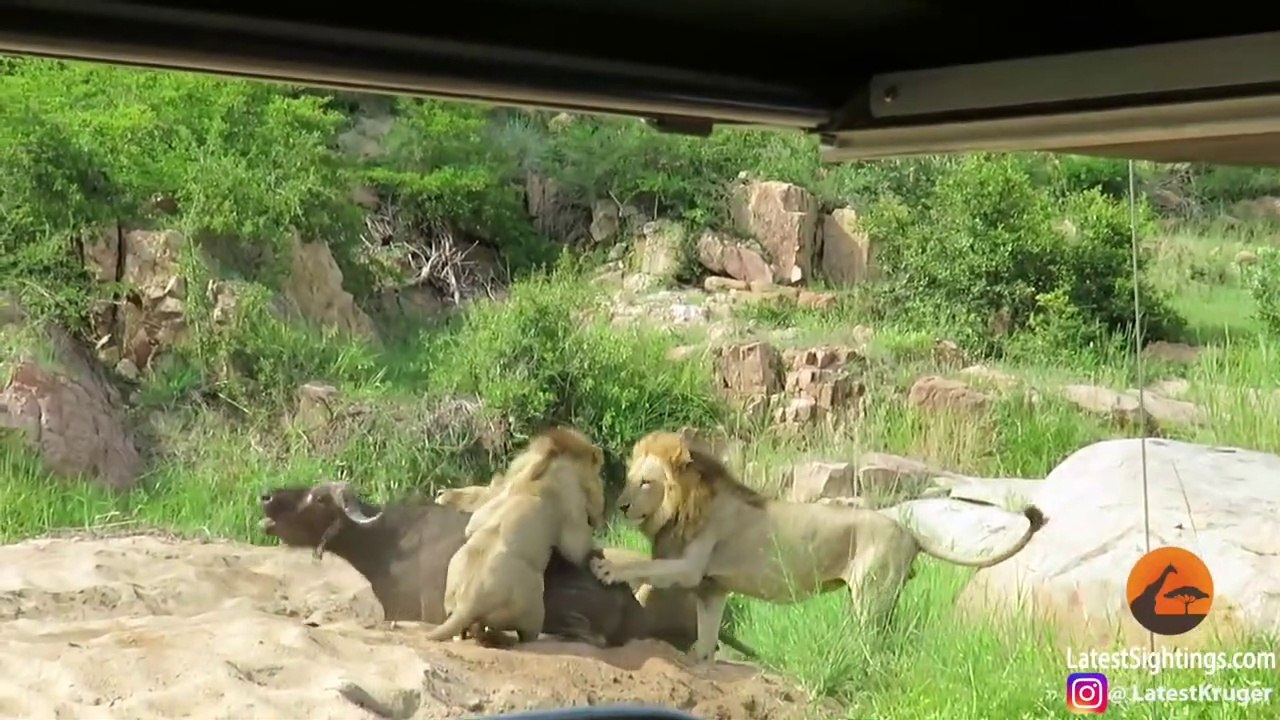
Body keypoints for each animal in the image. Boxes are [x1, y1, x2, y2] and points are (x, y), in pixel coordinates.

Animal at [424, 426, 607, 646]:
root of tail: (468, 603)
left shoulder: (485, 511)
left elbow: (474, 522)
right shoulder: (573, 519)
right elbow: (578, 550)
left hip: (452, 599)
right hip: (532, 606)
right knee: (523, 634)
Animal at [589, 430, 1048, 661]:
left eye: (646, 482)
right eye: (630, 479)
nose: (621, 504)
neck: (681, 507)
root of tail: (909, 533)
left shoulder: (690, 566)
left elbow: (645, 569)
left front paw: (608, 568)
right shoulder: (711, 588)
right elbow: (706, 631)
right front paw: (700, 657)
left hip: (871, 592)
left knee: (872, 640)